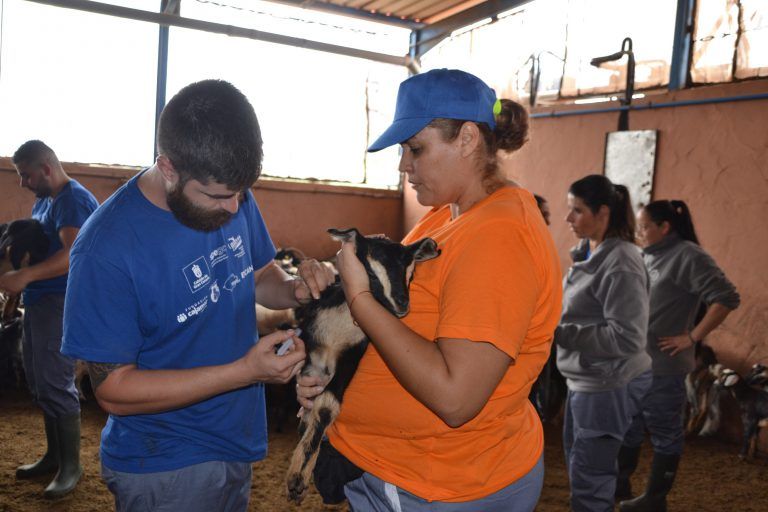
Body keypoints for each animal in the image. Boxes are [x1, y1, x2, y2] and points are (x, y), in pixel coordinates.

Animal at [284, 228, 440, 504]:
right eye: (370, 274)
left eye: (410, 273)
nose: (402, 304)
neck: (338, 330)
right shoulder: (312, 358)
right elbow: (312, 411)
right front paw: (296, 477)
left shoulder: (350, 356)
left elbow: (326, 407)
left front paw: (298, 479)